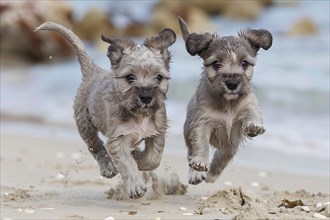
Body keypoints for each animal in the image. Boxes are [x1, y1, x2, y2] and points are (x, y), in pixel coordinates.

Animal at [35, 21, 177, 199]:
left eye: (158, 77)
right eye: (130, 77)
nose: (146, 96)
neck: (137, 115)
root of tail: (93, 71)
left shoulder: (157, 131)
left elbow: (153, 158)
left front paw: (139, 159)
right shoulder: (117, 139)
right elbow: (126, 162)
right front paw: (135, 183)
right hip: (85, 126)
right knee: (97, 147)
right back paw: (108, 167)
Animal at [179, 17, 272, 185]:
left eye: (244, 63)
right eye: (216, 64)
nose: (232, 83)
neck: (228, 102)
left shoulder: (247, 107)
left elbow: (251, 114)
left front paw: (253, 125)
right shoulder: (202, 122)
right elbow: (201, 144)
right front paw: (200, 164)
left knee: (225, 154)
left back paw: (213, 172)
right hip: (187, 131)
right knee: (191, 152)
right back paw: (195, 174)